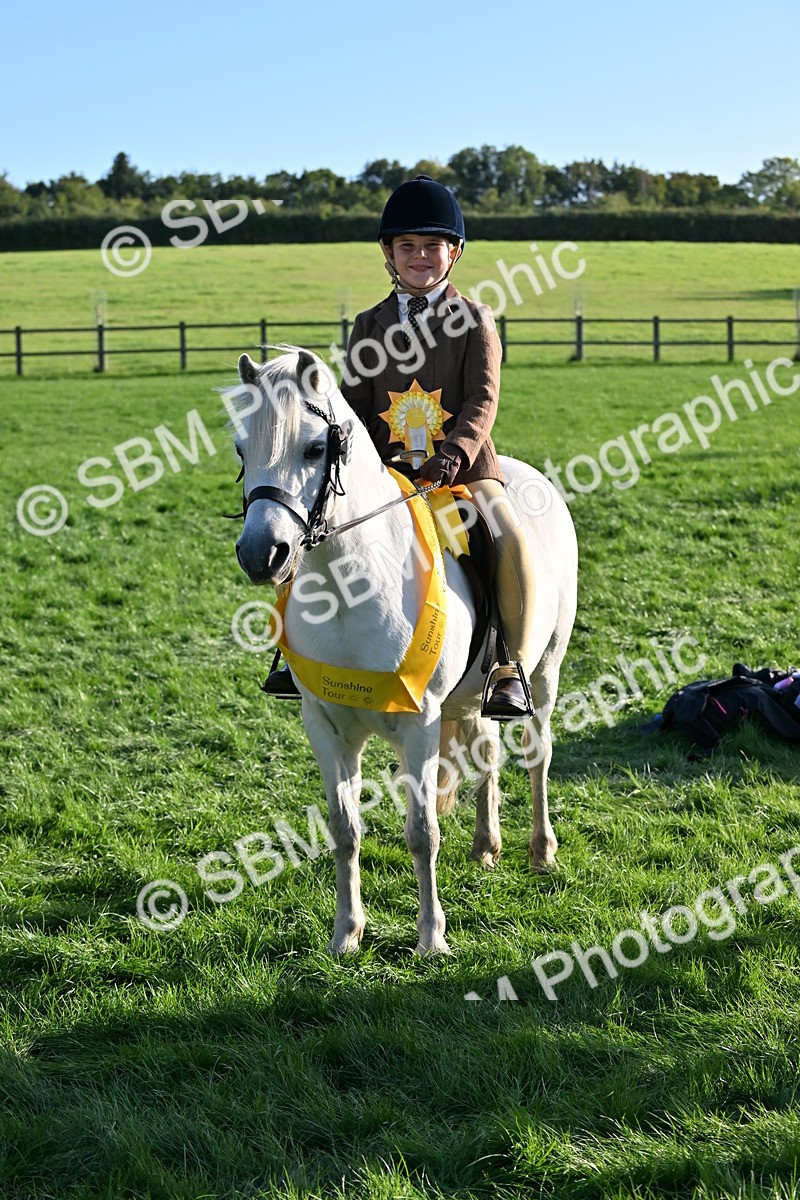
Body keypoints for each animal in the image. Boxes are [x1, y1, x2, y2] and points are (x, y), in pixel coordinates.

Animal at [227, 346, 578, 956]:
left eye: (314, 448)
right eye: (242, 449)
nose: (260, 554)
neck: (351, 590)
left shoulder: (420, 724)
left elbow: (422, 831)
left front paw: (432, 938)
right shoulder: (325, 727)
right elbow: (344, 830)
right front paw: (346, 934)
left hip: (545, 674)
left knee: (538, 756)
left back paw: (541, 851)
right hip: (471, 697)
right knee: (487, 750)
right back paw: (486, 845)